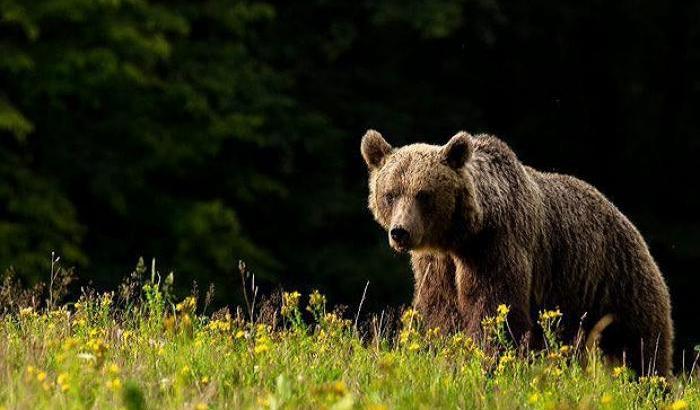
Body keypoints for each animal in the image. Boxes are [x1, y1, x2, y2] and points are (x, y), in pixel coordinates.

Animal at [360, 128, 672, 374]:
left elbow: (496, 309)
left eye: (424, 194)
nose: (400, 231)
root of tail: (625, 218)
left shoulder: (496, 248)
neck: (461, 237)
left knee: (640, 345)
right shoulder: (437, 265)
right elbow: (442, 313)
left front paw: (490, 363)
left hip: (615, 281)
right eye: (390, 193)